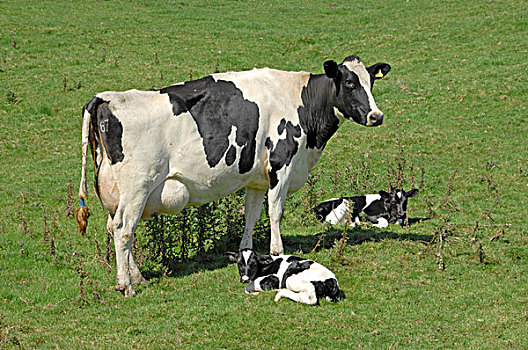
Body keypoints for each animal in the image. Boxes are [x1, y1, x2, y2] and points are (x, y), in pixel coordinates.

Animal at [77, 54, 392, 296]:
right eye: (350, 83)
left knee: (115, 227)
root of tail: (107, 98)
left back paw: (138, 277)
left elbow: (251, 215)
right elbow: (275, 212)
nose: (376, 116)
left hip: (118, 194)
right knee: (123, 229)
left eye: (371, 81)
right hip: (137, 188)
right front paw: (277, 252)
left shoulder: (256, 178)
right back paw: (126, 285)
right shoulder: (281, 164)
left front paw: (246, 252)